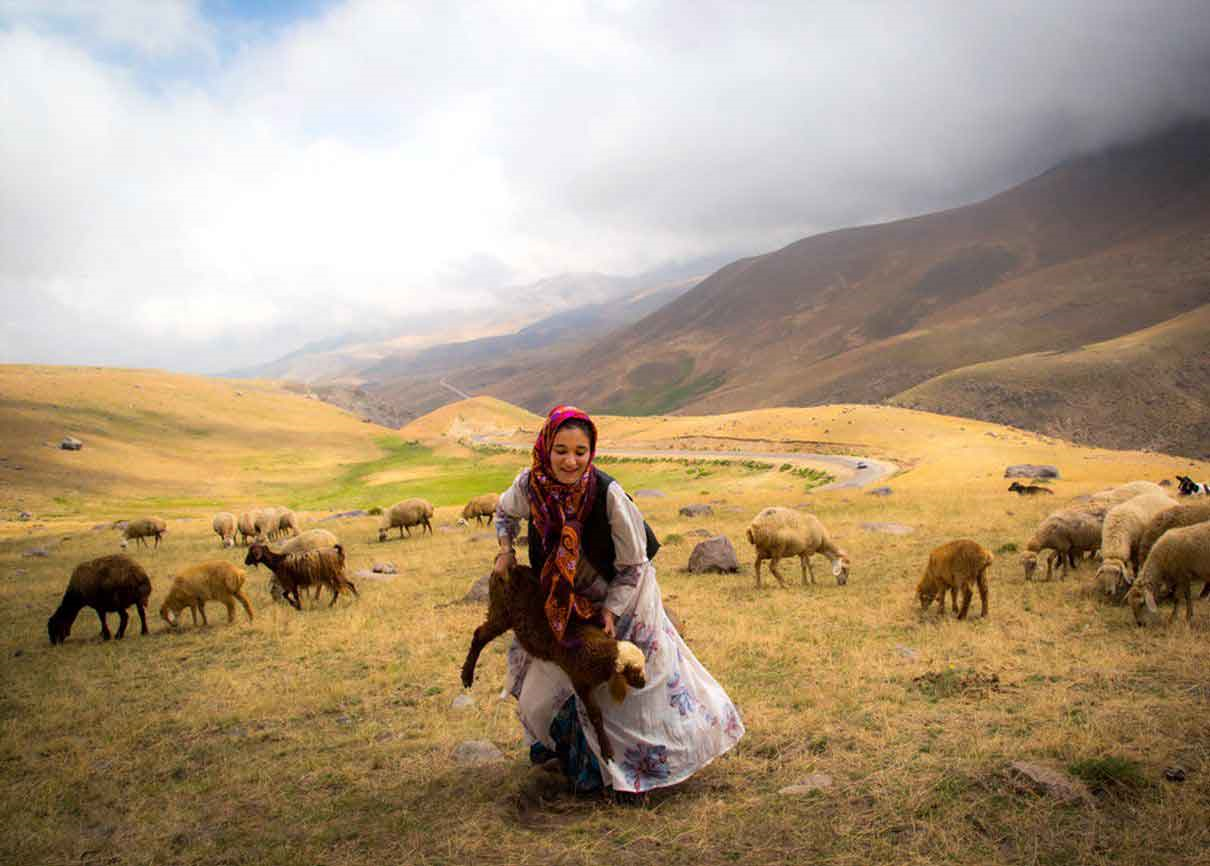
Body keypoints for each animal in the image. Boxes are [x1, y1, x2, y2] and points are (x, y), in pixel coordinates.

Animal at [457, 561, 648, 759]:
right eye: (633, 671)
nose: (644, 683)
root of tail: (512, 567)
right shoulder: (580, 682)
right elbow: (595, 715)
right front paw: (606, 749)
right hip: (500, 610)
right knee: (479, 635)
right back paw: (467, 675)